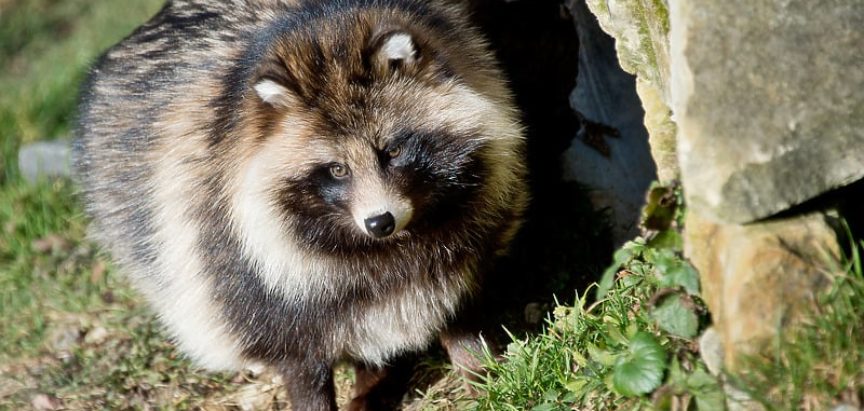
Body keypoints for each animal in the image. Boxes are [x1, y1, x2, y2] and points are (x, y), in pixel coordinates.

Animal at [74, 0, 528, 408]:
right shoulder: (237, 259)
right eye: (337, 170)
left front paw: (480, 372)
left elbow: (457, 298)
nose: (379, 221)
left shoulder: (474, 216)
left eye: (393, 150)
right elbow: (297, 355)